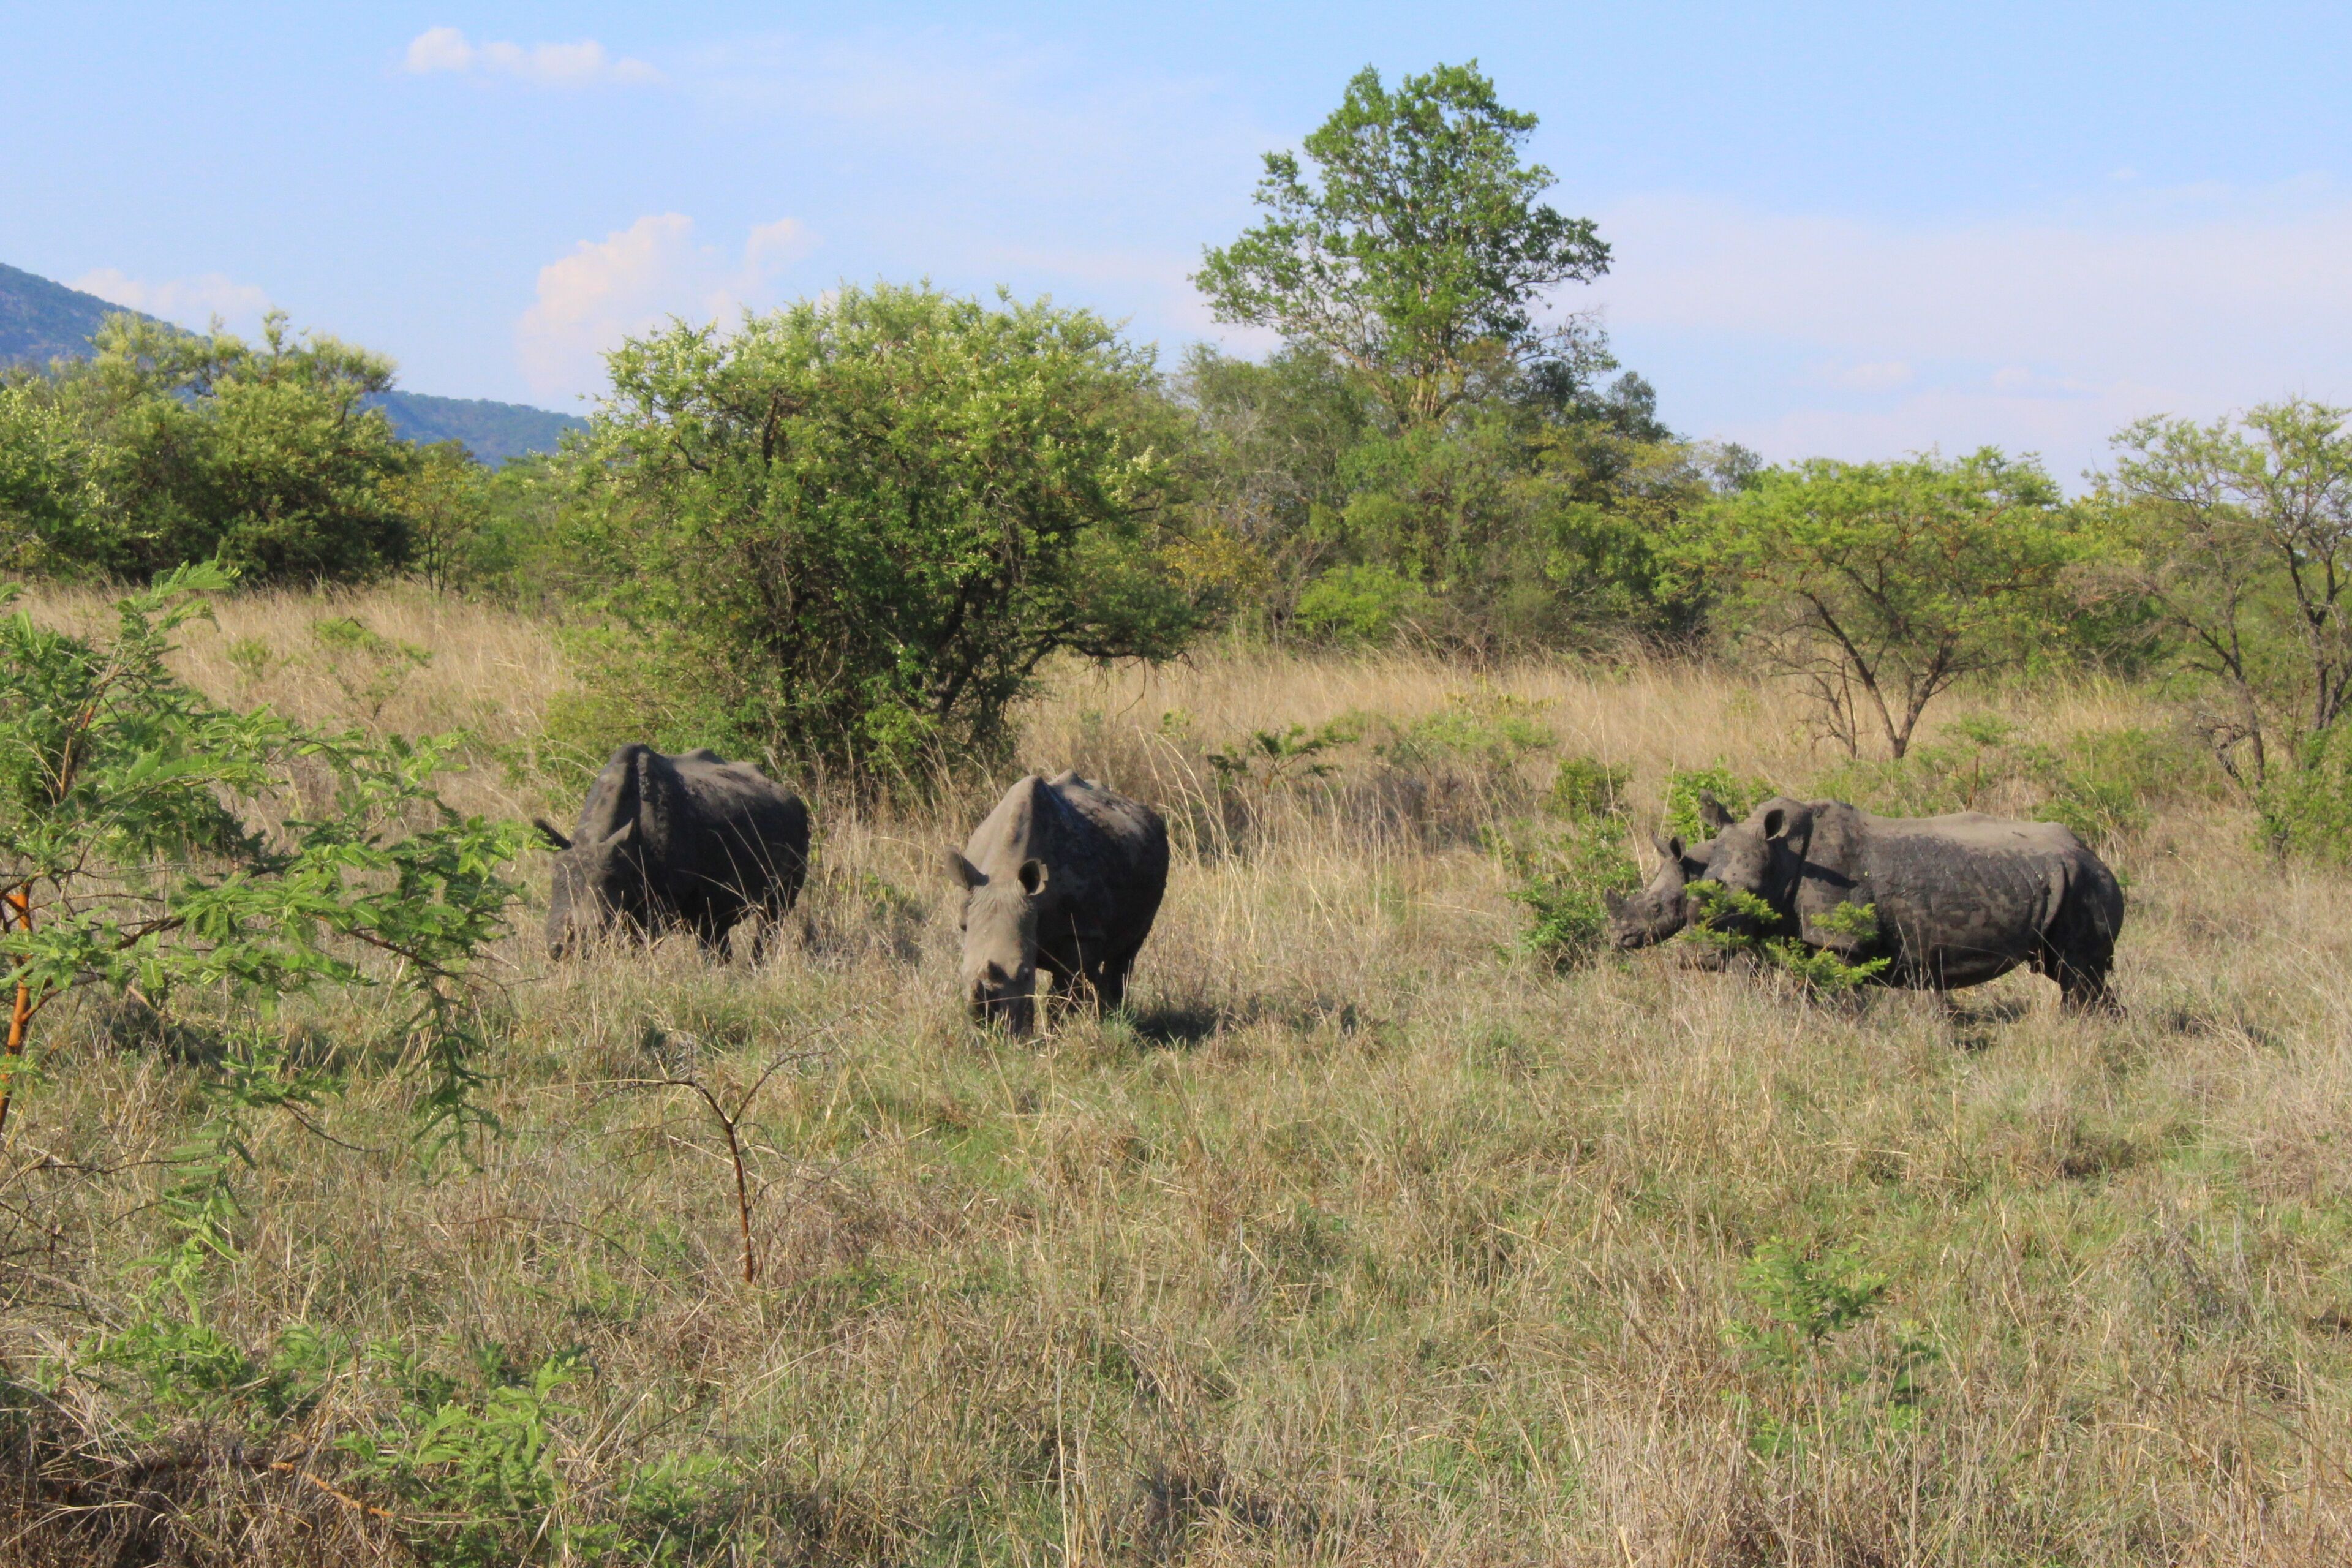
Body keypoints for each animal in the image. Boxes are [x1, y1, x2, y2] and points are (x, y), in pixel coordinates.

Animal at [535, 744, 809, 960]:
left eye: (600, 926)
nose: (560, 950)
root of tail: (789, 793)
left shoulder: (654, 909)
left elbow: (641, 947)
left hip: (799, 825)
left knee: (774, 913)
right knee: (714, 924)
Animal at [949, 771, 1169, 1034]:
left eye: (1024, 974)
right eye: (961, 975)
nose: (990, 1031)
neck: (1004, 874)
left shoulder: (1078, 931)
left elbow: (1061, 993)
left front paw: (1054, 1034)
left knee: (1126, 952)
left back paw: (1113, 1016)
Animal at [1697, 795, 2125, 1010]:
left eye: (1746, 894)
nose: (1703, 960)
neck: (1783, 855)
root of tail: (2093, 855)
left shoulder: (1841, 942)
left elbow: (1835, 1000)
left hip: (2086, 883)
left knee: (2078, 973)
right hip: (2066, 879)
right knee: (2073, 974)